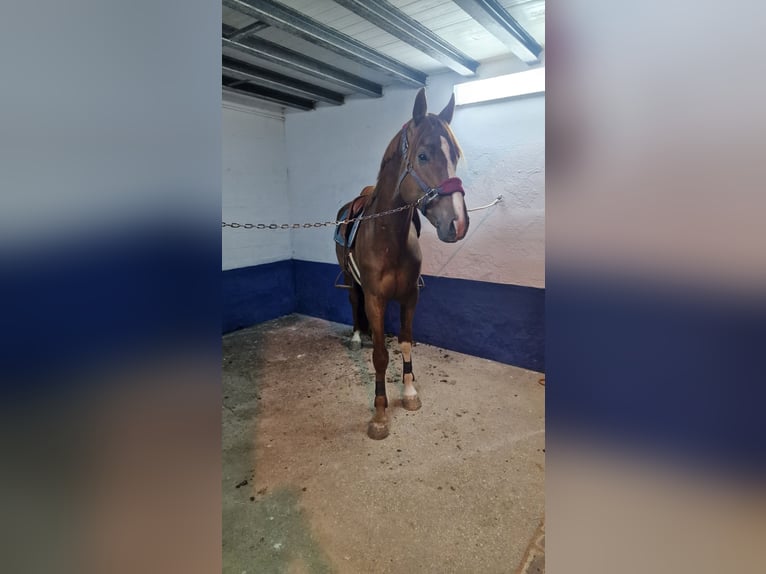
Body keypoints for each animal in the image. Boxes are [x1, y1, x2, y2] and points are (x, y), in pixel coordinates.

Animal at [335, 88, 470, 440]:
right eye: (422, 156)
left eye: (455, 157)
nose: (458, 223)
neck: (388, 237)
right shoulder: (375, 300)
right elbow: (381, 355)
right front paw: (380, 413)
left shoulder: (410, 296)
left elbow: (406, 343)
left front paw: (409, 392)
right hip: (350, 280)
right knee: (352, 301)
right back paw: (357, 336)